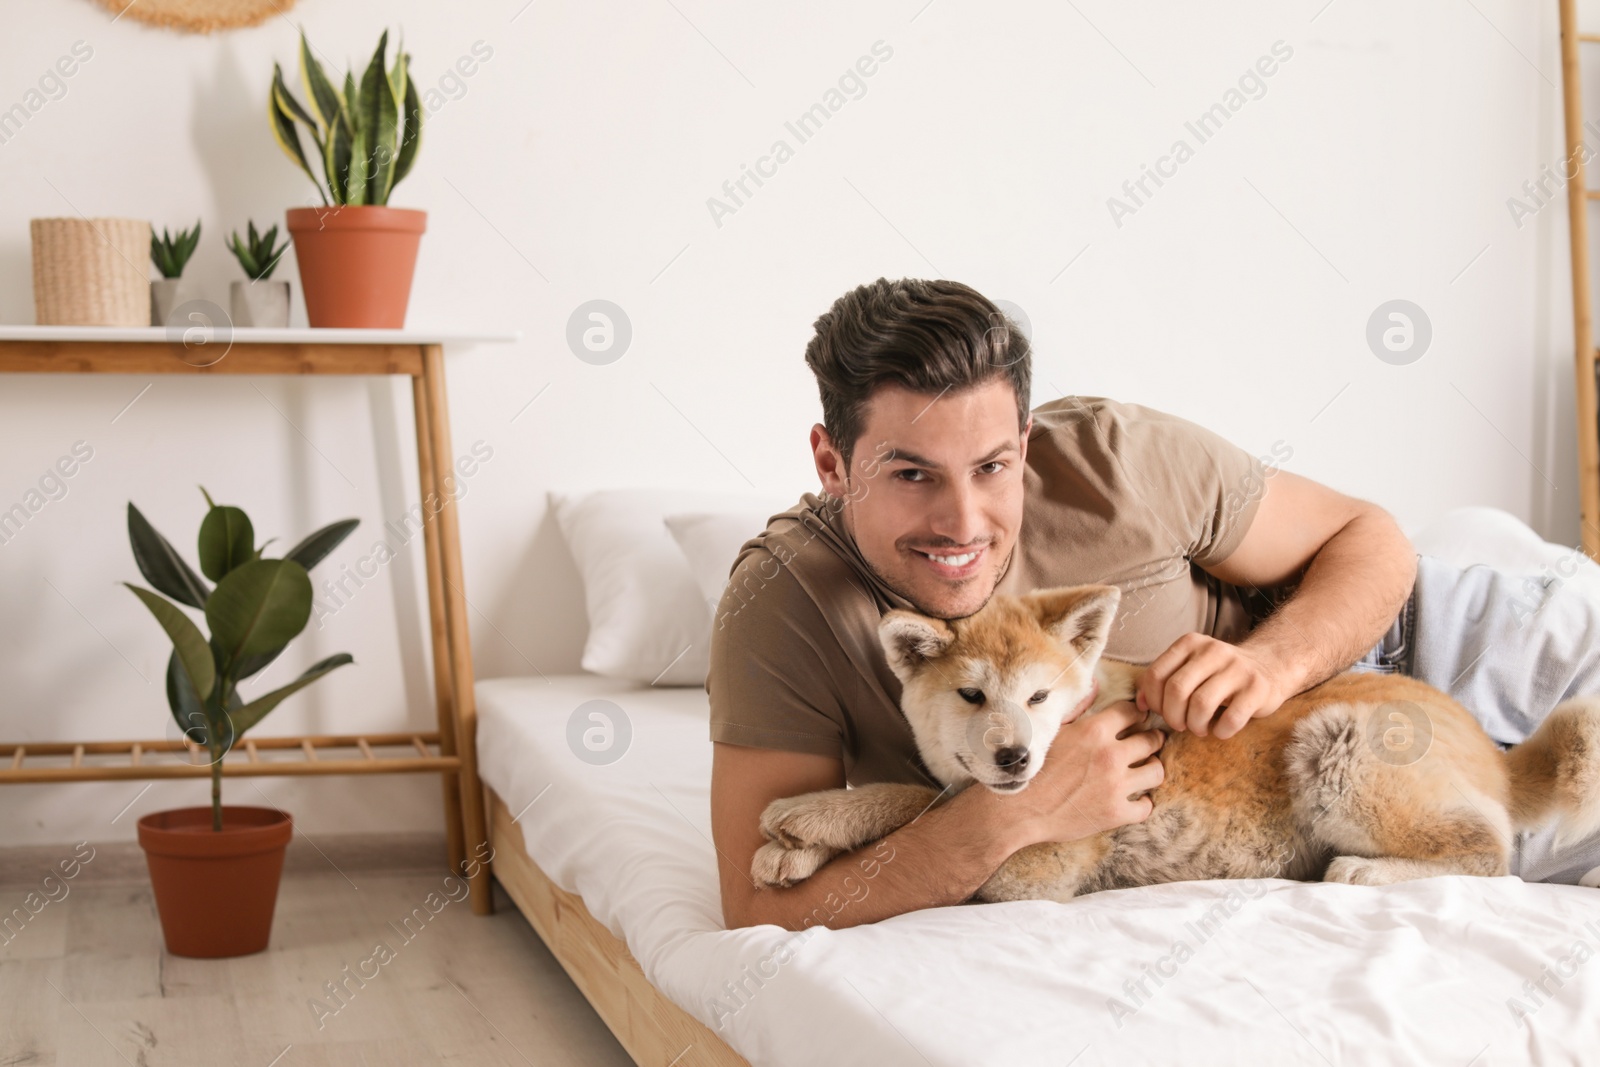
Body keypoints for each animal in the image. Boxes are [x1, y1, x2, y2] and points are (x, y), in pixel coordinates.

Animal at [748, 585, 1600, 902]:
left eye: (1038, 697)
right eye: (971, 695)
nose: (1015, 757)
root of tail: (1496, 754)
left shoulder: (1035, 868)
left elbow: (920, 802)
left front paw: (810, 822)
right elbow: (928, 795)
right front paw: (804, 838)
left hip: (1340, 744)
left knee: (1489, 852)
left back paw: (1368, 869)